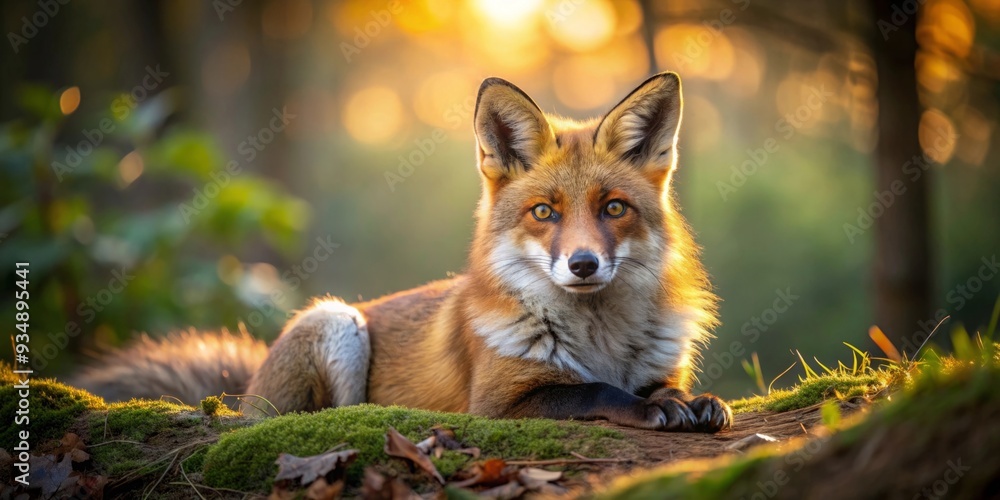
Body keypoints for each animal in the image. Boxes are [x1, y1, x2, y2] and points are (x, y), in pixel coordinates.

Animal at [76, 72, 732, 432]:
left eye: (613, 209)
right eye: (544, 212)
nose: (583, 264)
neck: (600, 341)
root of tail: (244, 392)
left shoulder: (659, 368)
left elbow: (659, 388)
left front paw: (691, 403)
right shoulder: (498, 402)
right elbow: (597, 393)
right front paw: (647, 410)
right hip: (336, 320)